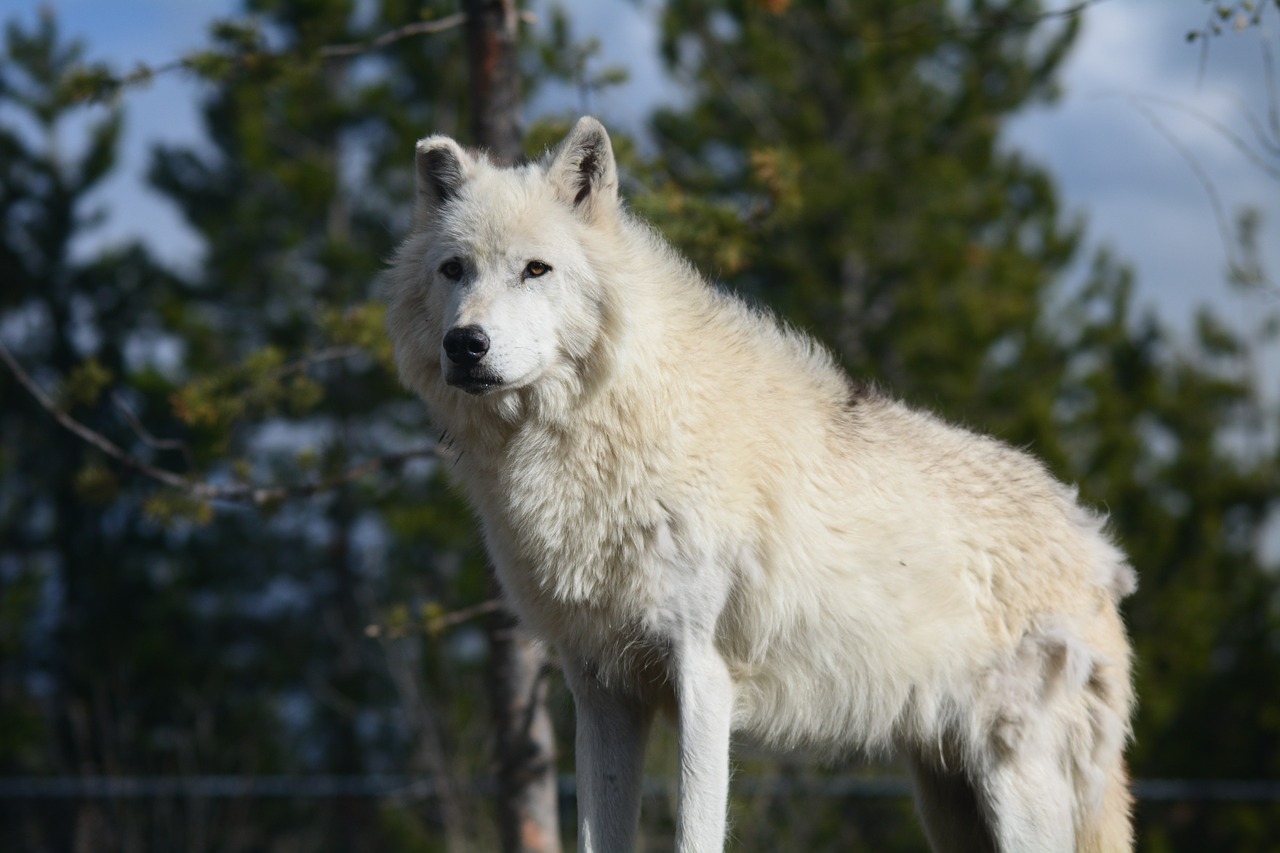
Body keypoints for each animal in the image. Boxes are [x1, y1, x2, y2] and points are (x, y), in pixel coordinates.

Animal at [384, 114, 1136, 850]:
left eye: (535, 269)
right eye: (455, 269)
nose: (466, 344)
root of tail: (1096, 546)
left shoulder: (702, 675)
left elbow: (695, 833)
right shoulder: (601, 687)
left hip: (1015, 785)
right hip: (947, 797)